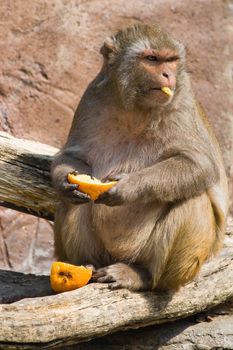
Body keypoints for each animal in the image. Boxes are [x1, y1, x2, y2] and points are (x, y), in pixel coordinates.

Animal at [50, 24, 228, 292]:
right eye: (152, 59)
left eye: (171, 60)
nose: (167, 75)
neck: (135, 105)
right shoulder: (91, 97)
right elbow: (73, 156)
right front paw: (64, 182)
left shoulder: (182, 101)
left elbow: (200, 166)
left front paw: (128, 186)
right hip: (105, 253)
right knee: (72, 204)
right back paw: (86, 265)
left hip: (186, 262)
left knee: (192, 198)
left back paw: (143, 276)